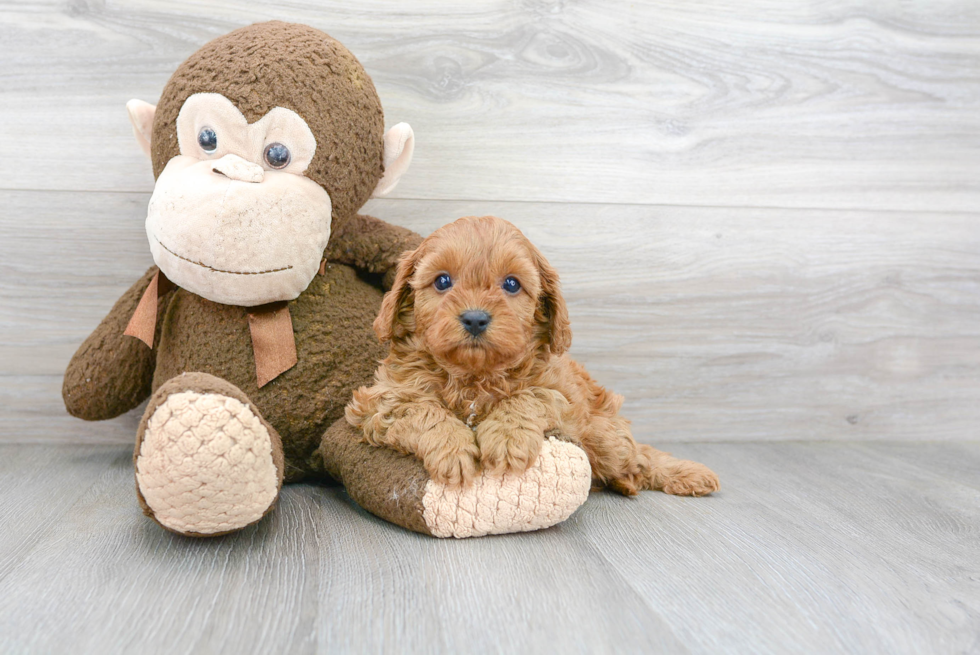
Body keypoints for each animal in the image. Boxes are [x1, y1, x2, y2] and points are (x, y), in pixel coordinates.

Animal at [346, 217, 720, 498]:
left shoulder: (564, 397)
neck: (474, 376)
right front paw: (452, 449)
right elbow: (422, 408)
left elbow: (530, 396)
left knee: (639, 458)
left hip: (605, 437)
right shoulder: (377, 401)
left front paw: (507, 438)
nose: (475, 318)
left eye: (512, 284)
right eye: (442, 281)